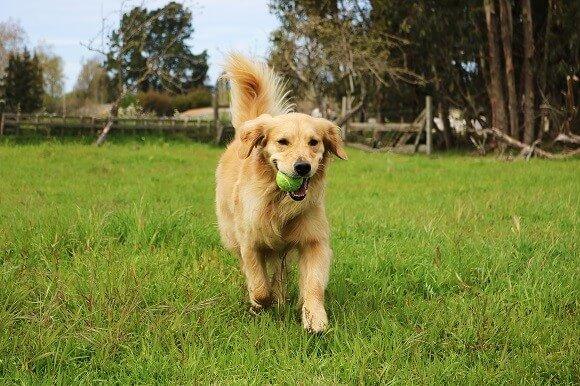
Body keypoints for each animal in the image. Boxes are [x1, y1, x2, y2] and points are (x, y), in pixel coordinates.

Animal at [215, 53, 346, 332]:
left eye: (314, 142)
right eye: (282, 142)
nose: (303, 167)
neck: (278, 202)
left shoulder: (313, 240)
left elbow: (314, 284)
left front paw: (314, 318)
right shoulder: (250, 242)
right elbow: (259, 285)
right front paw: (260, 303)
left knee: (280, 271)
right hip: (231, 234)